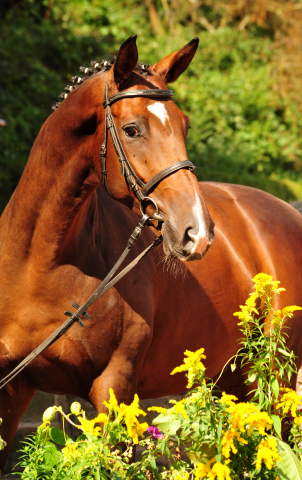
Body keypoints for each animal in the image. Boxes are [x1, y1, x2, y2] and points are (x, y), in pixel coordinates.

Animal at [1, 35, 302, 470]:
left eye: (184, 125)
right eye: (132, 129)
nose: (198, 232)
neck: (42, 263)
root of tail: (288, 211)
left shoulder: (112, 387)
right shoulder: (13, 389)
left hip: (277, 378)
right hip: (236, 378)